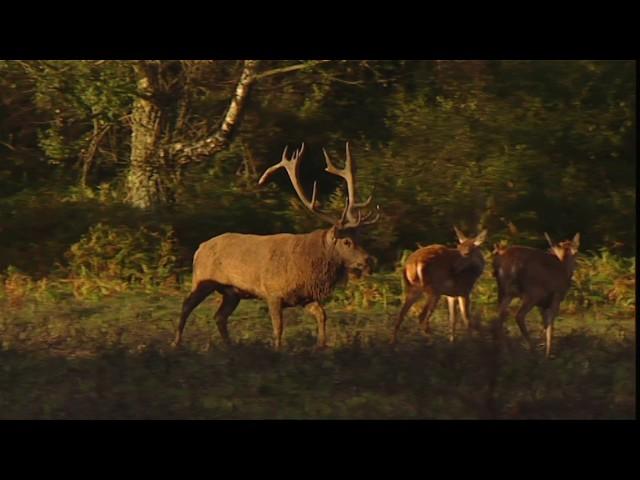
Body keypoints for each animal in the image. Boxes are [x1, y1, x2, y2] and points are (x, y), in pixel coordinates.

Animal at [172, 142, 378, 348]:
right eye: (346, 241)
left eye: (360, 237)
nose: (368, 260)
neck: (308, 265)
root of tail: (199, 248)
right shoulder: (273, 293)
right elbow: (278, 328)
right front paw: (278, 349)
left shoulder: (305, 297)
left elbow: (322, 315)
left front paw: (321, 345)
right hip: (201, 280)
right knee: (186, 305)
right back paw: (176, 343)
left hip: (232, 293)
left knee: (219, 317)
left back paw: (230, 346)